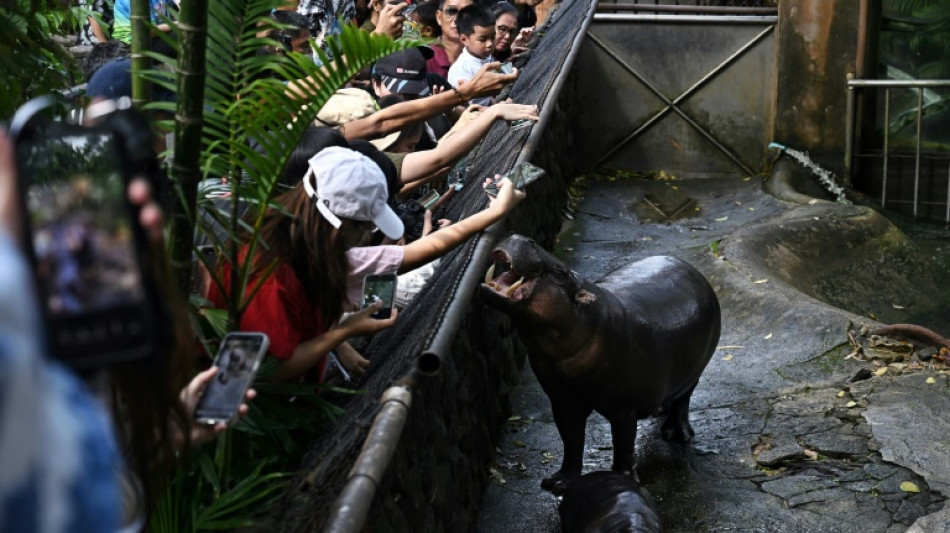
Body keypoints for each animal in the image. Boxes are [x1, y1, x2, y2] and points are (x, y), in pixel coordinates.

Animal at [484, 235, 720, 492]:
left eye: (561, 272)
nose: (521, 237)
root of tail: (693, 270)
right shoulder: (563, 401)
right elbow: (571, 441)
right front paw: (557, 482)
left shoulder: (624, 409)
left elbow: (624, 446)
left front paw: (623, 480)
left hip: (695, 370)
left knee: (683, 399)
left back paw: (676, 434)